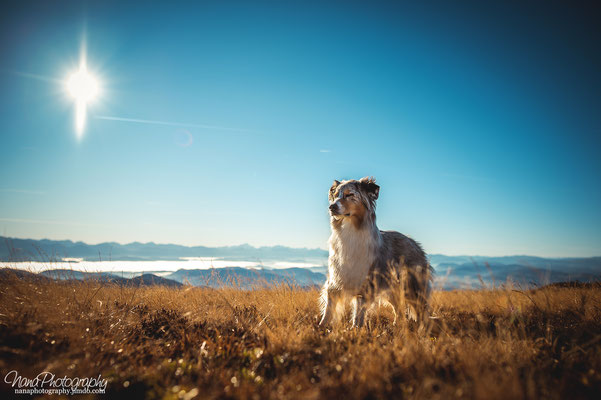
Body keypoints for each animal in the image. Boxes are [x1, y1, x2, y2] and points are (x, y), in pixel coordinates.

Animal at [318, 178, 432, 328]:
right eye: (336, 195)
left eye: (349, 195)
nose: (332, 207)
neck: (350, 230)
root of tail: (414, 242)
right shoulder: (337, 278)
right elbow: (329, 307)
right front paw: (321, 326)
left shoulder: (366, 283)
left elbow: (359, 311)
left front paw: (355, 328)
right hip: (392, 288)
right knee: (399, 309)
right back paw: (396, 325)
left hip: (413, 287)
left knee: (420, 309)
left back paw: (422, 327)